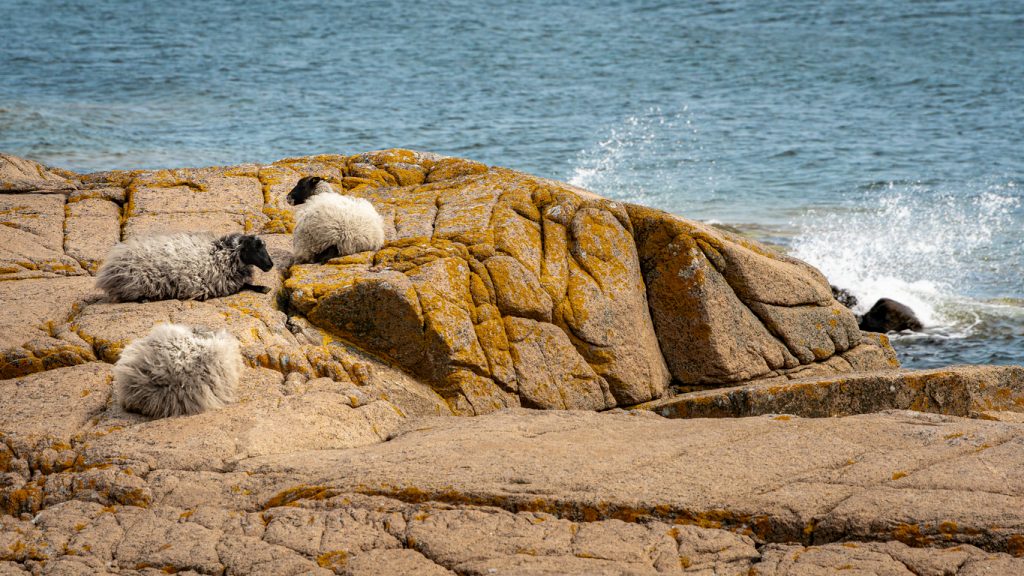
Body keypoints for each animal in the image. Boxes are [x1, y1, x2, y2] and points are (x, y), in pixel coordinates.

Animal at [96, 232, 274, 302]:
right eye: (254, 248)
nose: (270, 265)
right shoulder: (220, 284)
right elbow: (246, 285)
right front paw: (264, 288)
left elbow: (247, 284)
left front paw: (263, 287)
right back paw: (146, 299)